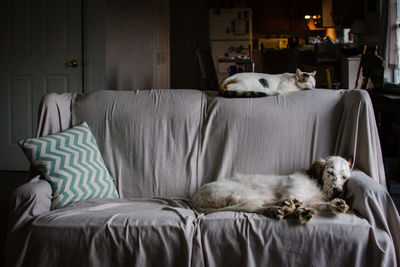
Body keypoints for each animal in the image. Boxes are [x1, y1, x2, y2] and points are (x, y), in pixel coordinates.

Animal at [192, 157, 352, 224]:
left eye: (344, 177)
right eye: (330, 172)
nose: (338, 190)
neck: (316, 182)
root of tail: (196, 197)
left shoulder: (312, 200)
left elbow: (322, 204)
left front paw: (338, 204)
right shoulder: (293, 193)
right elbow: (300, 204)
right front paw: (303, 212)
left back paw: (281, 208)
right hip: (244, 192)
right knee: (255, 207)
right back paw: (280, 208)